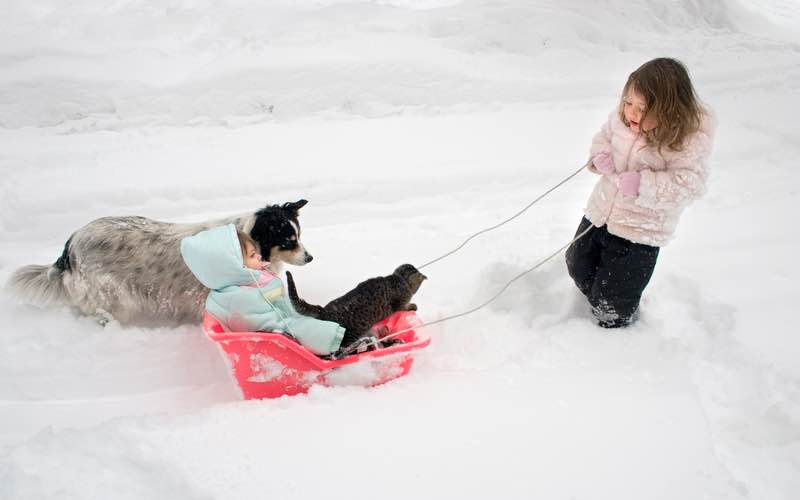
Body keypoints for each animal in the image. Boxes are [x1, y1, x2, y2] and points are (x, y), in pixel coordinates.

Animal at [7, 199, 312, 328]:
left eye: (299, 235)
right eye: (288, 241)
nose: (310, 257)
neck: (247, 237)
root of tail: (70, 246)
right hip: (112, 295)